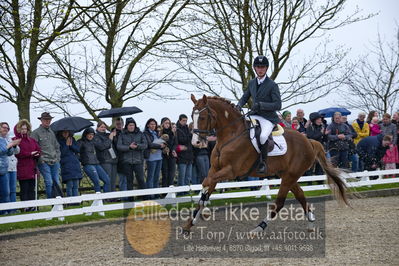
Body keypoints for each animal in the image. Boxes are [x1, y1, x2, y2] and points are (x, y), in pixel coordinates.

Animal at [185, 94, 350, 234]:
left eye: (203, 117)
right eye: (192, 117)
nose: (196, 142)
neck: (230, 136)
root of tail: (309, 141)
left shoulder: (231, 171)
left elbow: (206, 183)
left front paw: (202, 213)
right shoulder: (215, 169)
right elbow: (206, 186)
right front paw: (189, 224)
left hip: (290, 176)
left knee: (280, 203)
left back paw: (258, 228)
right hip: (287, 175)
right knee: (300, 195)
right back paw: (310, 224)